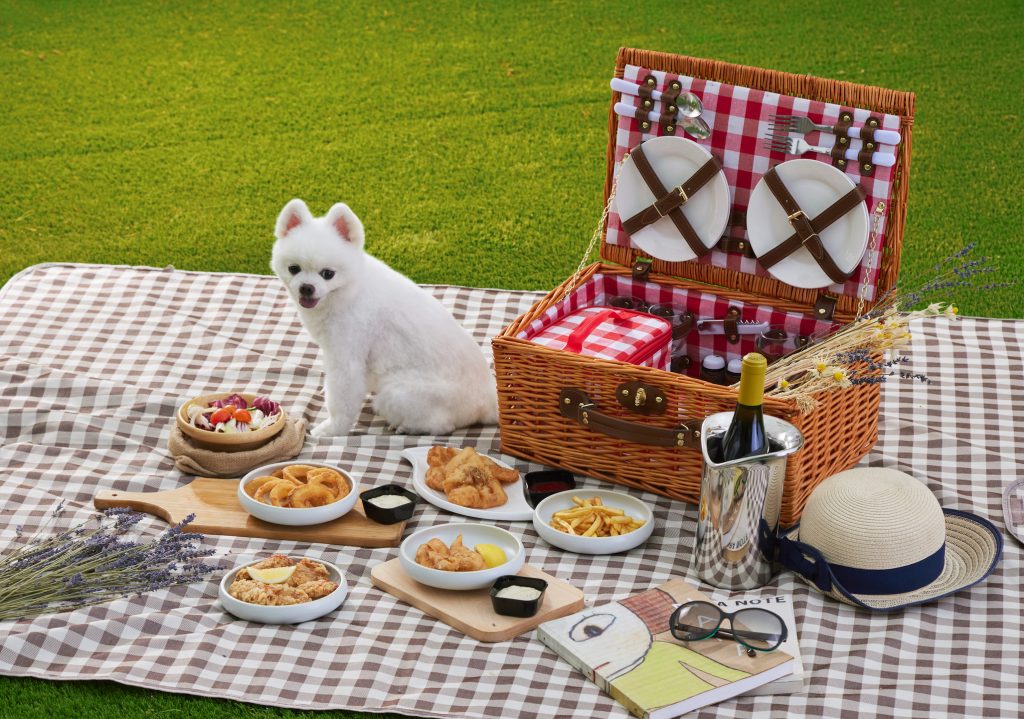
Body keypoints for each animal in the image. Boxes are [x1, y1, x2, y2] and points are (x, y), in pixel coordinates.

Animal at [270, 196, 497, 436]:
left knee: (443, 426)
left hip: (397, 393)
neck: (348, 291)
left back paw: (405, 426)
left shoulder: (346, 355)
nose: (306, 288)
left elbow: (342, 397)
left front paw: (332, 429)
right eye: (294, 268)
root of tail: (488, 399)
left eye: (328, 274)